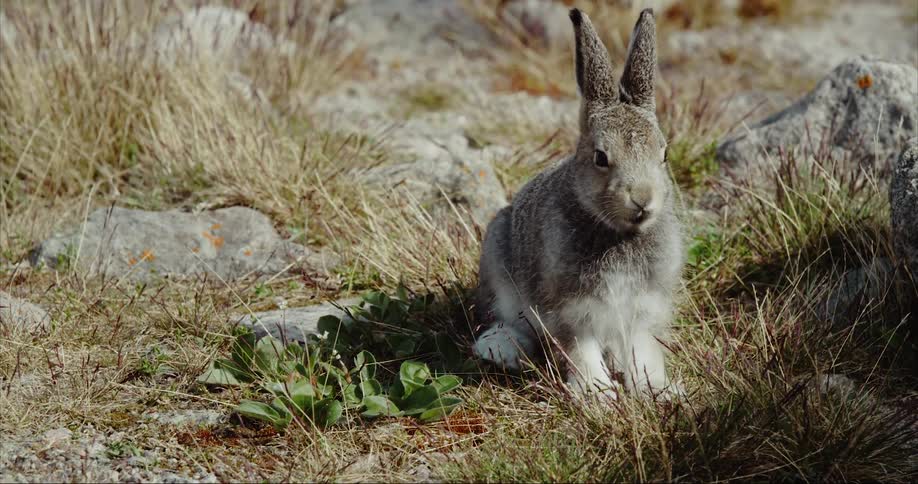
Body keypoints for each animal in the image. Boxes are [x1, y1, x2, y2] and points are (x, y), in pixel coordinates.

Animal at [473, 8, 683, 397]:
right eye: (601, 157)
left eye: (664, 154)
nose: (642, 199)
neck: (617, 233)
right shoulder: (570, 308)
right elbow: (580, 349)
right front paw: (597, 394)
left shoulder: (643, 307)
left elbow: (643, 349)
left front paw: (656, 389)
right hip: (498, 267)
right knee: (508, 320)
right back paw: (500, 349)